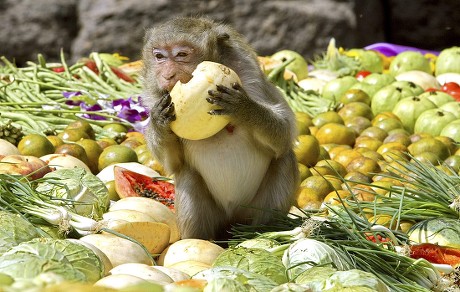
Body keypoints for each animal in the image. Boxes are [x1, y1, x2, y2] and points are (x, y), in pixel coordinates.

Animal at [141, 16, 298, 240]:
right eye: (159, 56)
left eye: (181, 55)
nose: (167, 75)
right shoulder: (157, 96)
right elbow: (174, 163)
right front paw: (158, 120)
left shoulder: (249, 73)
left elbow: (284, 133)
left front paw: (243, 108)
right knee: (188, 175)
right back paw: (198, 239)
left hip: (251, 211)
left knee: (284, 159)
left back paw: (264, 231)